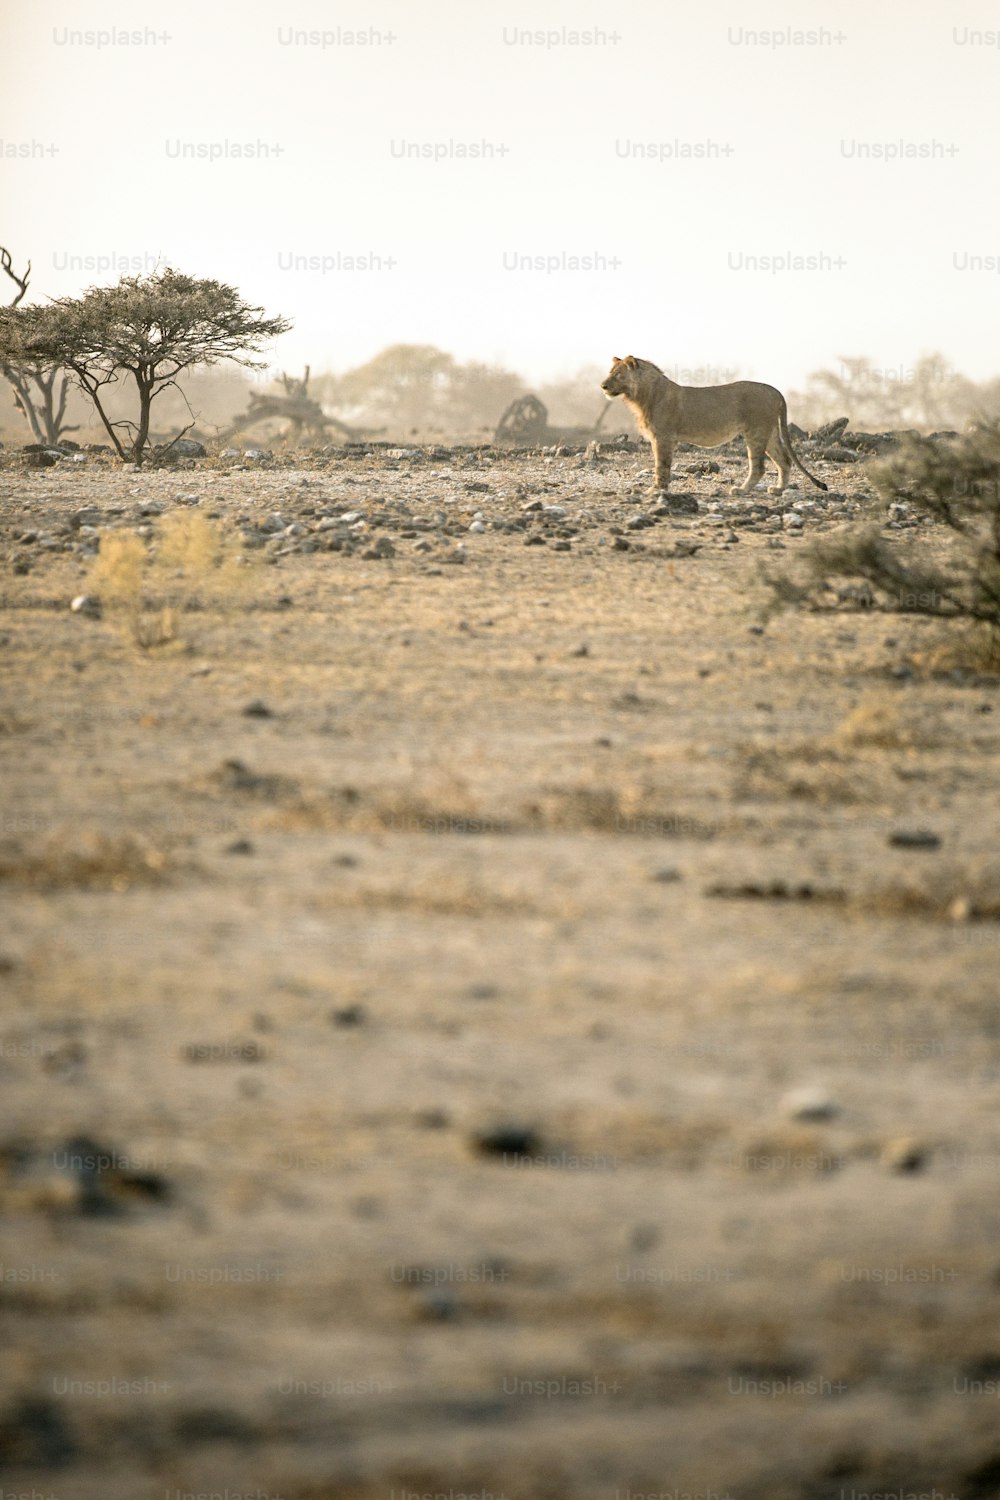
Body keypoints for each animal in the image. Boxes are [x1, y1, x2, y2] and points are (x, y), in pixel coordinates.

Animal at [602, 354, 827, 495]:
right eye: (610, 372)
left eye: (618, 374)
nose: (602, 385)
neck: (640, 396)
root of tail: (775, 390)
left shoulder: (663, 437)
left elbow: (661, 465)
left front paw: (656, 490)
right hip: (769, 432)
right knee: (784, 461)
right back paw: (778, 489)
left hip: (756, 431)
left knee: (759, 466)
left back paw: (741, 490)